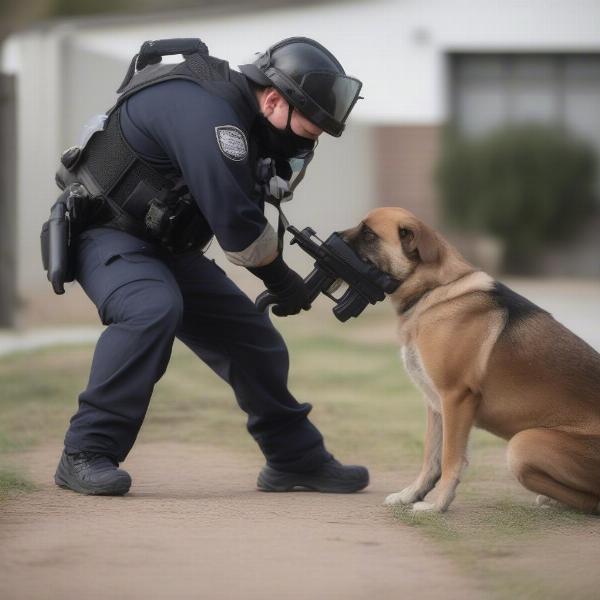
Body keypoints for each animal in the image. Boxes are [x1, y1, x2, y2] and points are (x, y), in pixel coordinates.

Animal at [342, 209, 600, 512]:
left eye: (368, 234)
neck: (435, 289)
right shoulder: (436, 405)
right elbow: (431, 458)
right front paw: (412, 494)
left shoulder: (456, 398)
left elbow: (451, 459)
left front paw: (437, 505)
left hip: (522, 445)